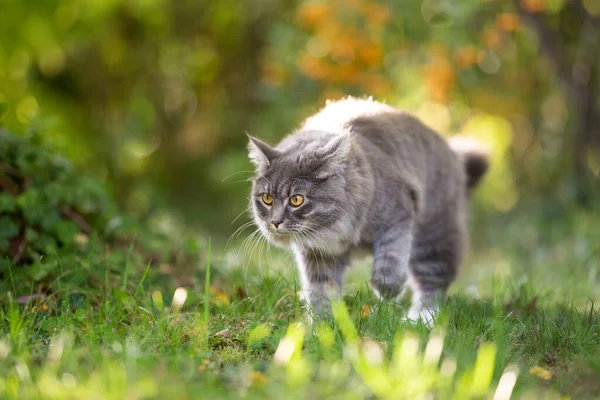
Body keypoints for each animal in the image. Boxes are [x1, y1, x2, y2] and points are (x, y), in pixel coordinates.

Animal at [246, 97, 490, 324]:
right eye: (267, 198)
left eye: (296, 200)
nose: (275, 222)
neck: (333, 229)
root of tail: (450, 151)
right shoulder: (319, 255)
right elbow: (320, 292)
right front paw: (322, 326)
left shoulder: (398, 215)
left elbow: (391, 257)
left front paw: (387, 290)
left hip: (434, 236)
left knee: (432, 284)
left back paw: (420, 319)